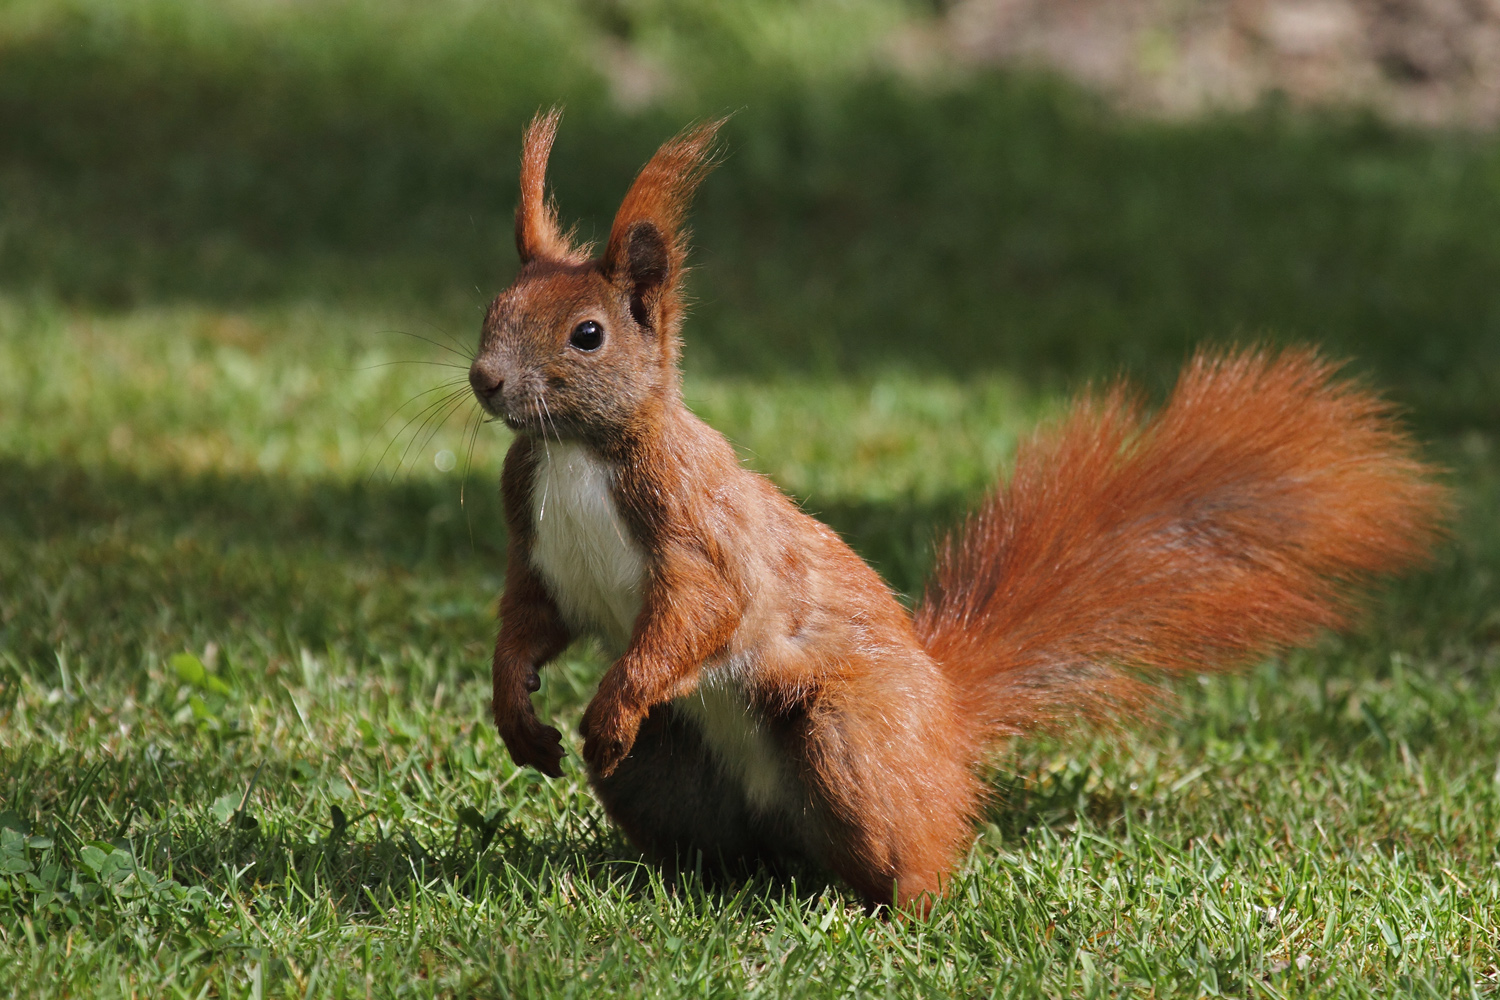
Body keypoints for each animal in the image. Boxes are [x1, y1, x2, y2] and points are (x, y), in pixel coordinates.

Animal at [471, 111, 1452, 917]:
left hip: (846, 738)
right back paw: (681, 880)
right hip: (669, 765)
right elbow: (530, 617)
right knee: (730, 842)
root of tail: (946, 722)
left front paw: (612, 702)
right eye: (493, 307)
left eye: (588, 335)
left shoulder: (696, 520)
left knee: (902, 850)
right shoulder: (534, 544)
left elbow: (701, 608)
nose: (484, 380)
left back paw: (890, 906)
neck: (576, 450)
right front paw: (515, 710)